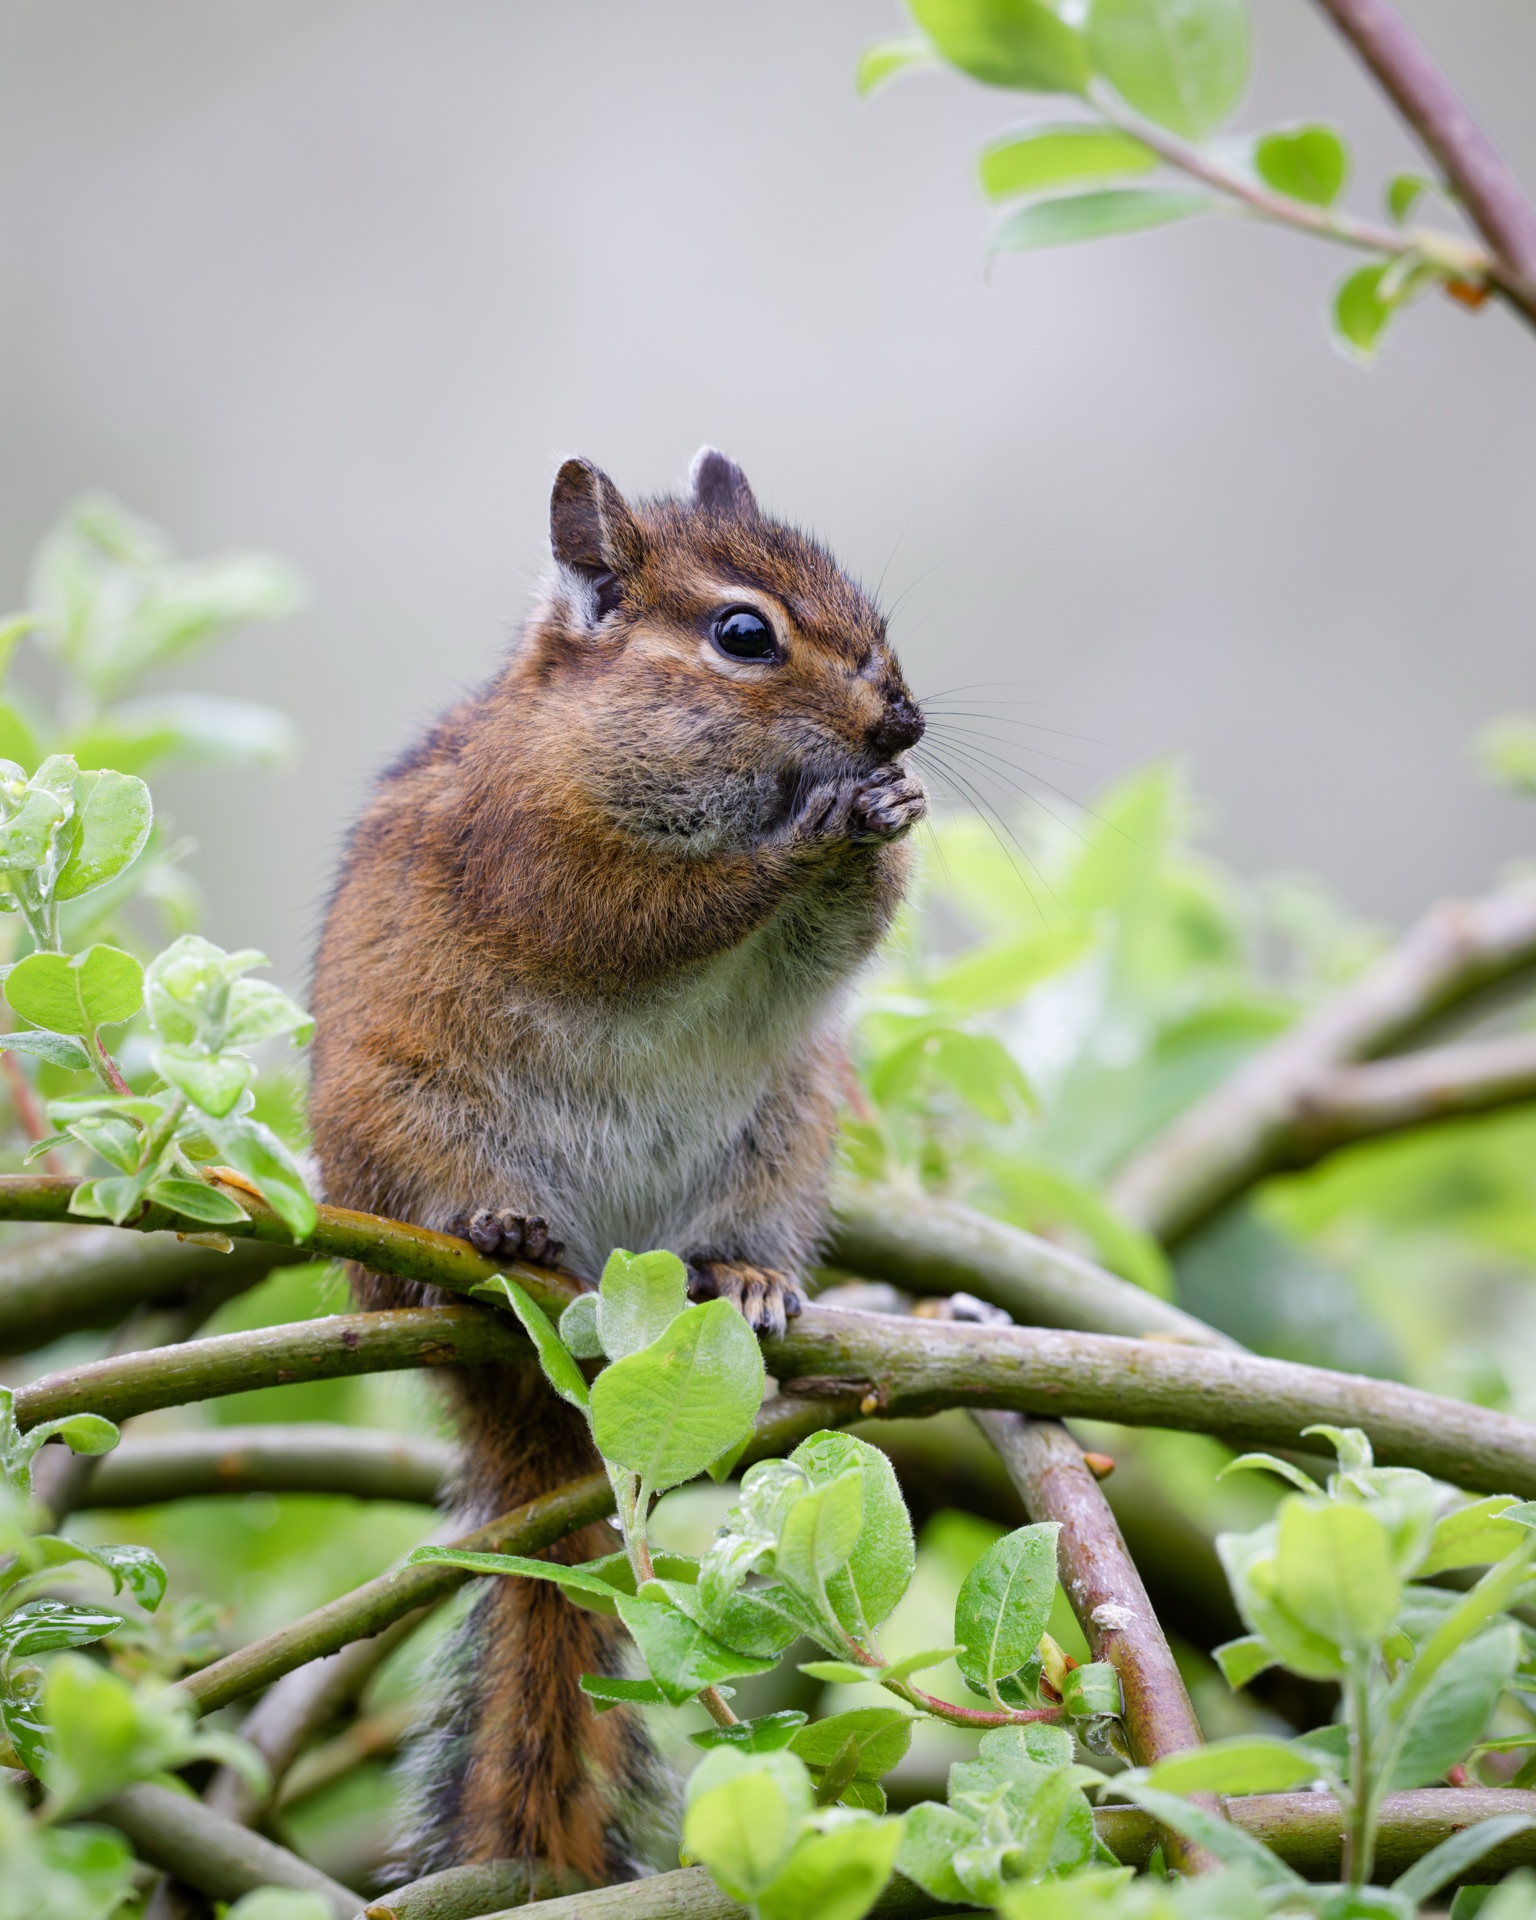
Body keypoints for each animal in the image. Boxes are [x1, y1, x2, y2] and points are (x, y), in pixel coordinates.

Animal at [307, 448, 927, 1885]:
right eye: (745, 635)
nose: (905, 728)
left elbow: (843, 933)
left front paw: (890, 822)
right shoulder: (542, 852)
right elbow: (649, 916)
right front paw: (814, 832)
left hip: (776, 1146)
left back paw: (745, 1279)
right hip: (405, 1134)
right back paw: (491, 1239)